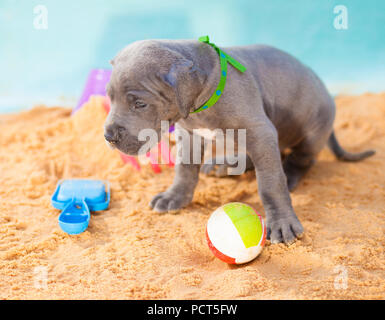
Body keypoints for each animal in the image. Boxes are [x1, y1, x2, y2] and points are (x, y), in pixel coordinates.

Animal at [103, 40, 374, 245]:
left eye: (140, 104)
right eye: (110, 97)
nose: (109, 136)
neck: (203, 101)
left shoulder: (261, 132)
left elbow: (270, 183)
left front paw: (282, 223)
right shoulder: (189, 135)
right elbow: (184, 170)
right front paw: (174, 196)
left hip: (311, 131)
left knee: (299, 160)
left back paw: (289, 174)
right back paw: (225, 164)